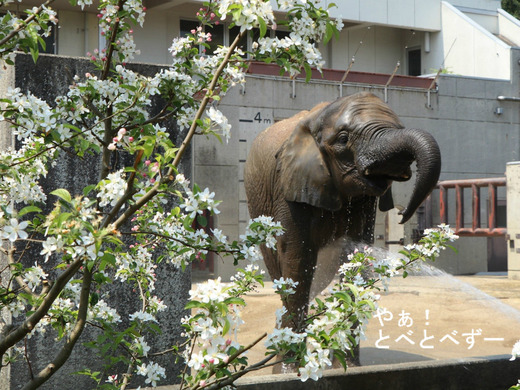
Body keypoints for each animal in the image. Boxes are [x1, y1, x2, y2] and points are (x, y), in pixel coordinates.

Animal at [243, 90, 438, 332]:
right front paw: (291, 341)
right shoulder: (288, 186)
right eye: (344, 139)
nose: (402, 215)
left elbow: (356, 251)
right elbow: (297, 257)